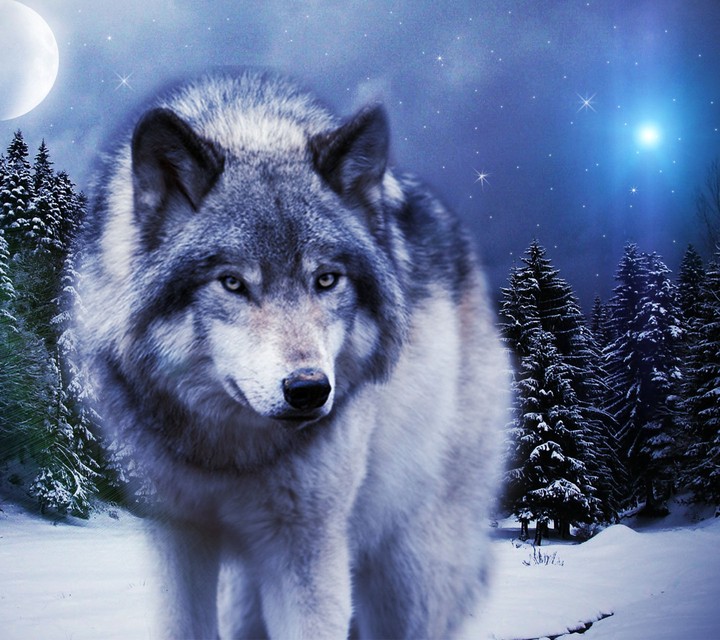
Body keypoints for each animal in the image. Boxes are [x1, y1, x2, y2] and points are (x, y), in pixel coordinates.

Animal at [73, 70, 509, 639]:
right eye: (232, 283)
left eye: (326, 279)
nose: (309, 390)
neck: (226, 455)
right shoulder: (174, 532)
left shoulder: (307, 546)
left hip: (408, 569)